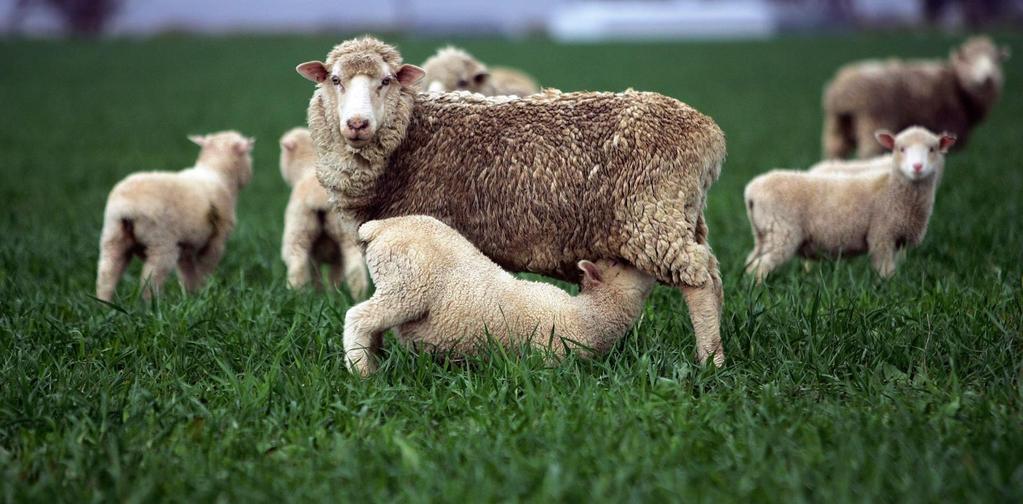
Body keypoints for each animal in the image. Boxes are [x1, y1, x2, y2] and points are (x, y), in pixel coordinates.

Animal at [95, 131, 253, 300]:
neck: (218, 174)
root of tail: (127, 209)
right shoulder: (215, 241)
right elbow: (204, 269)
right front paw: (205, 291)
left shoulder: (186, 246)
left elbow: (187, 273)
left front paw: (191, 296)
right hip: (161, 242)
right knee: (150, 279)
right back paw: (153, 303)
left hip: (113, 237)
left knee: (106, 274)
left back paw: (103, 302)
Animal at [280, 125, 368, 294]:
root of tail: (319, 196)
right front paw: (332, 293)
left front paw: (318, 294)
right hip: (346, 235)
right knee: (354, 266)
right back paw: (357, 295)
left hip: (299, 230)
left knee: (297, 263)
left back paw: (295, 294)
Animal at [343, 213, 654, 376]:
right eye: (620, 264)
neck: (587, 317)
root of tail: (379, 227)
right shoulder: (547, 355)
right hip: (407, 285)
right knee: (357, 317)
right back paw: (361, 373)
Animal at [822, 35, 1006, 157]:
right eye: (970, 61)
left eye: (995, 60)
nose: (988, 78)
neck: (956, 83)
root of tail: (843, 90)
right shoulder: (951, 127)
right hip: (873, 122)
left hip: (838, 126)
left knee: (835, 151)